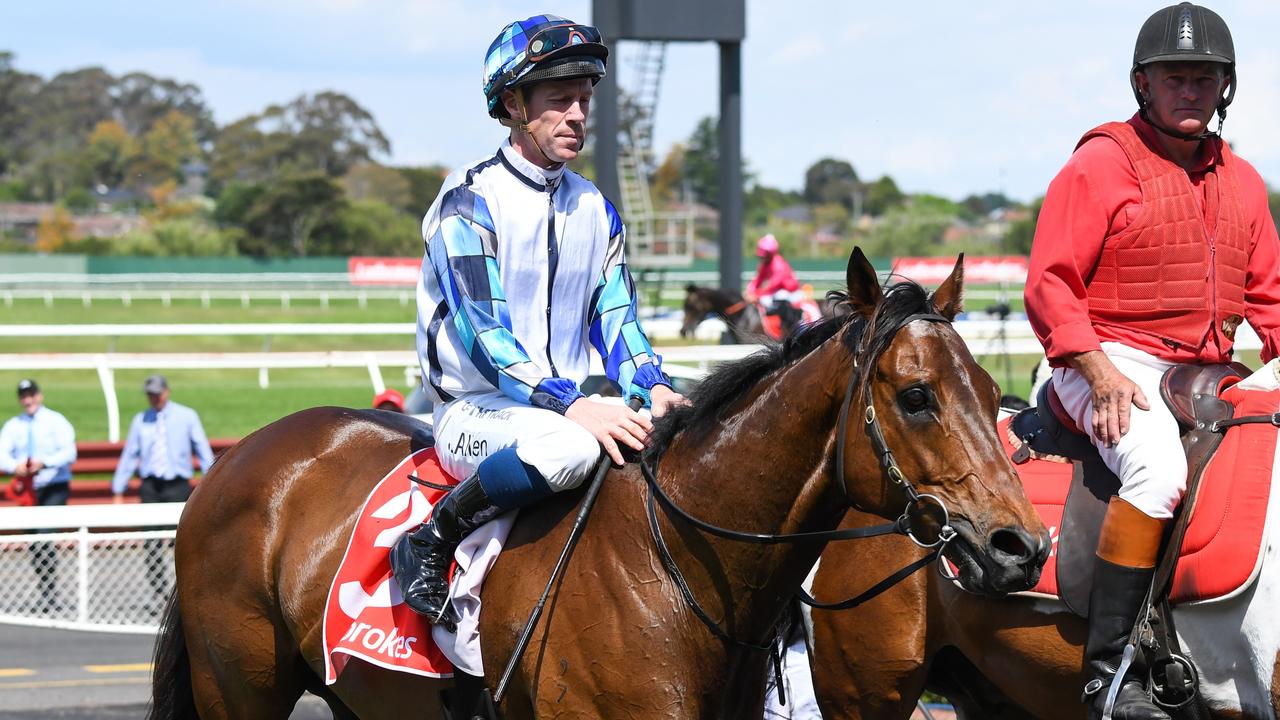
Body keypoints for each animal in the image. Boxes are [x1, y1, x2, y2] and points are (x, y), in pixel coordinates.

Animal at [149, 247, 1050, 720]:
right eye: (917, 395)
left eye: (990, 390)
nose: (1020, 546)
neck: (680, 573)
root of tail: (234, 460)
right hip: (239, 688)